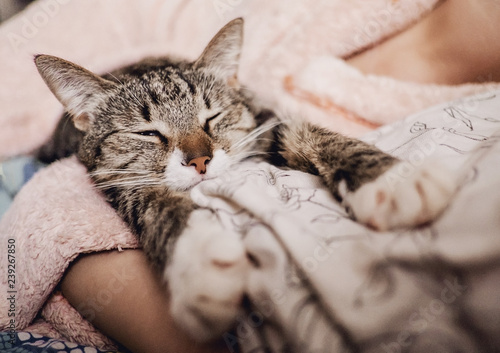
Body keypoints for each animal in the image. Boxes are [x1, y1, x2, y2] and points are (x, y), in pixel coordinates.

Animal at [33, 17, 456, 340]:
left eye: (212, 117)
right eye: (148, 133)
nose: (200, 160)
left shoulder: (266, 123)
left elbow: (308, 133)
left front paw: (388, 178)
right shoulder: (113, 179)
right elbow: (155, 203)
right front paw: (198, 261)